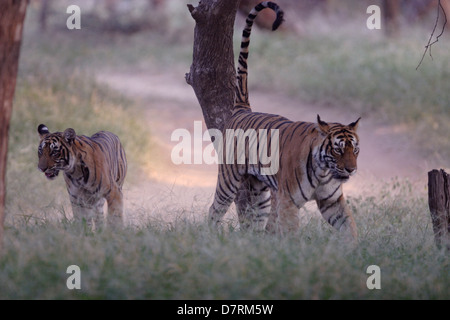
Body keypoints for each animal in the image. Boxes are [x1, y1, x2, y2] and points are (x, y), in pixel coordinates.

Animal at [209, 0, 360, 240]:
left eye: (355, 150)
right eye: (338, 150)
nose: (351, 170)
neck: (325, 170)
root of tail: (242, 109)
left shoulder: (332, 201)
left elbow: (349, 226)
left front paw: (355, 247)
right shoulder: (289, 200)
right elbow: (290, 230)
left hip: (259, 192)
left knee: (255, 219)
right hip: (228, 179)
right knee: (215, 209)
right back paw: (210, 235)